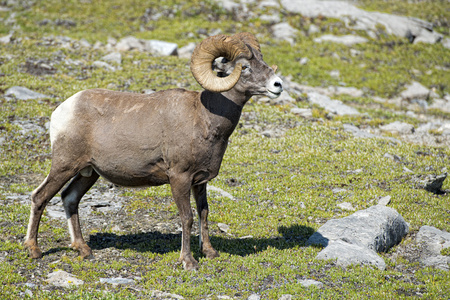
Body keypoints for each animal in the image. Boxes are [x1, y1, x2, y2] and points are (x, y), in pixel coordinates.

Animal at [23, 32, 282, 270]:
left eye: (262, 60)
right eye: (244, 66)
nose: (277, 85)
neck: (205, 118)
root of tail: (63, 109)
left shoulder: (200, 181)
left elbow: (204, 213)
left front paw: (209, 253)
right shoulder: (179, 178)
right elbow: (187, 218)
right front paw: (188, 262)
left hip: (89, 172)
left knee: (70, 198)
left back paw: (83, 250)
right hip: (64, 166)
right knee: (40, 197)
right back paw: (34, 250)